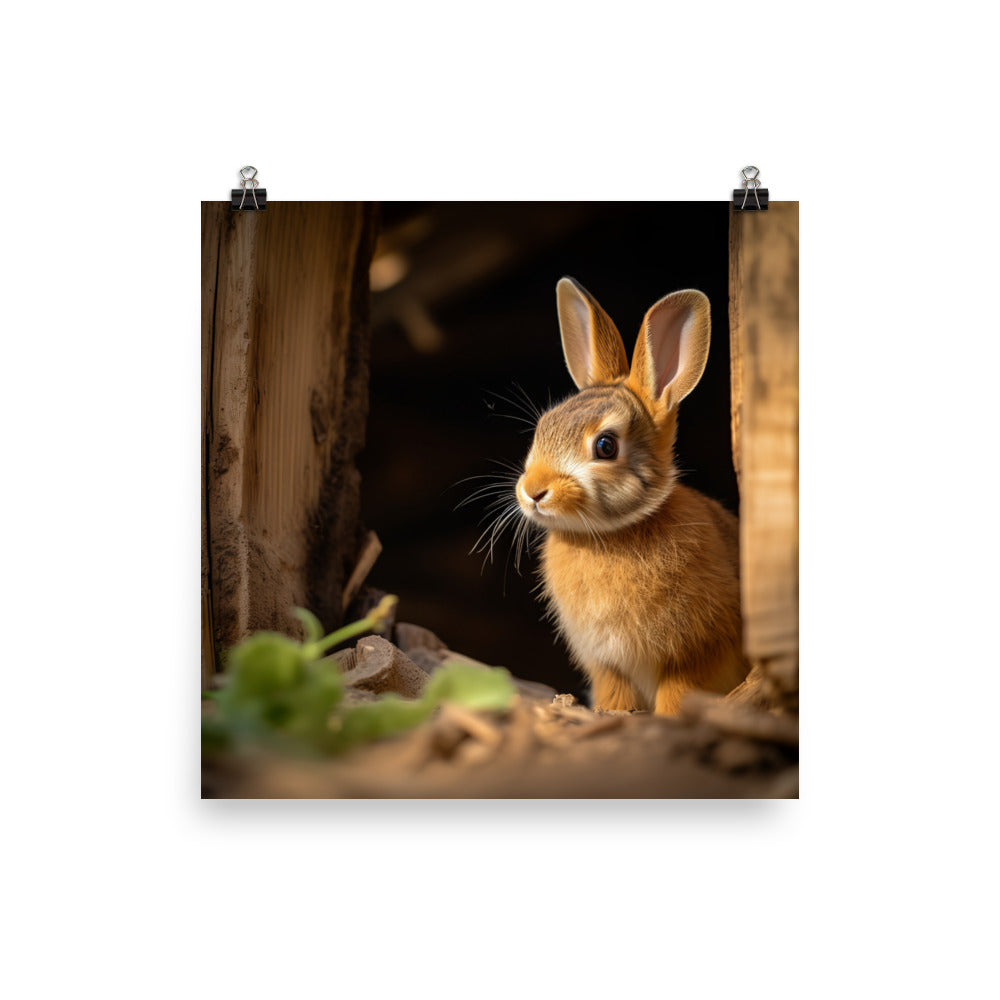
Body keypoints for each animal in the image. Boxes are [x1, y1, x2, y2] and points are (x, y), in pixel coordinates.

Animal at [514, 278, 748, 715]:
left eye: (605, 446)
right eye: (543, 427)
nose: (533, 491)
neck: (611, 534)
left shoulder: (695, 653)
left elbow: (678, 690)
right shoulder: (608, 664)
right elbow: (614, 695)